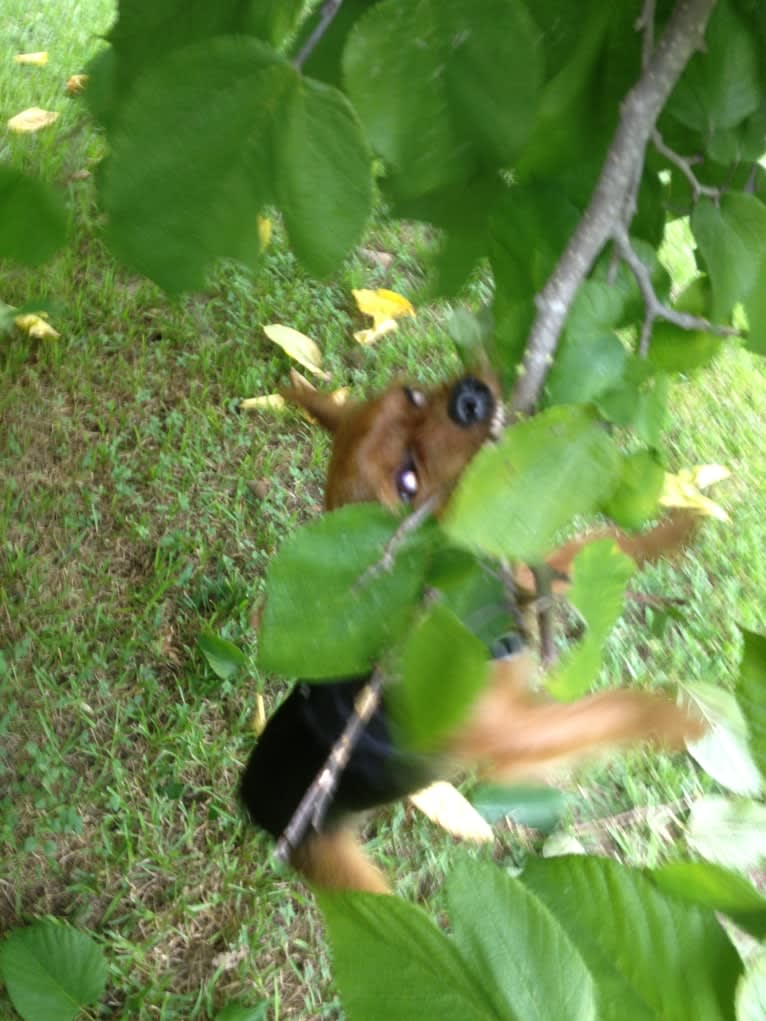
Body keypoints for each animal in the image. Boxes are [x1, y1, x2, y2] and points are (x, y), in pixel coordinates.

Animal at [243, 375, 706, 894]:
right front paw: (680, 722)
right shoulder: (519, 735)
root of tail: (249, 796)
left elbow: (605, 547)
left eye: (412, 396)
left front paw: (680, 527)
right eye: (407, 483)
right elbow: (615, 710)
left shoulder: (520, 577)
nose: (469, 397)